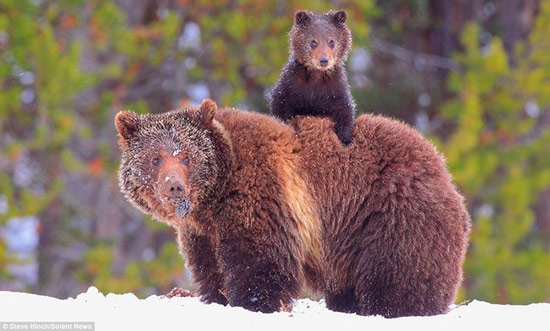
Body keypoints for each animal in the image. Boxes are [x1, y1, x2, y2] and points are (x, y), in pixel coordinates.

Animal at [115, 99, 470, 320]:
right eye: (155, 158)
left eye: (186, 156)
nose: (174, 186)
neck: (214, 196)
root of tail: (443, 168)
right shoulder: (202, 230)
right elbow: (209, 268)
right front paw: (215, 297)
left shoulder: (260, 194)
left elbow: (259, 262)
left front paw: (253, 303)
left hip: (392, 214)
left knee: (399, 276)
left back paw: (398, 310)